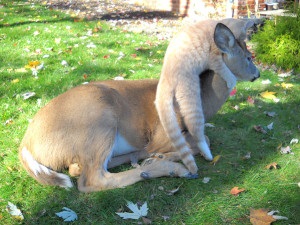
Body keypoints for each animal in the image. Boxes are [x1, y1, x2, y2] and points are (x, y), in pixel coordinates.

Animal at [18, 18, 258, 192]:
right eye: (248, 57)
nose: (257, 74)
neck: (204, 100)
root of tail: (26, 142)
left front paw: (161, 155)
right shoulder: (162, 133)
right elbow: (204, 139)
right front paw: (168, 156)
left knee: (79, 168)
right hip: (99, 119)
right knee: (91, 180)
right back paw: (170, 167)